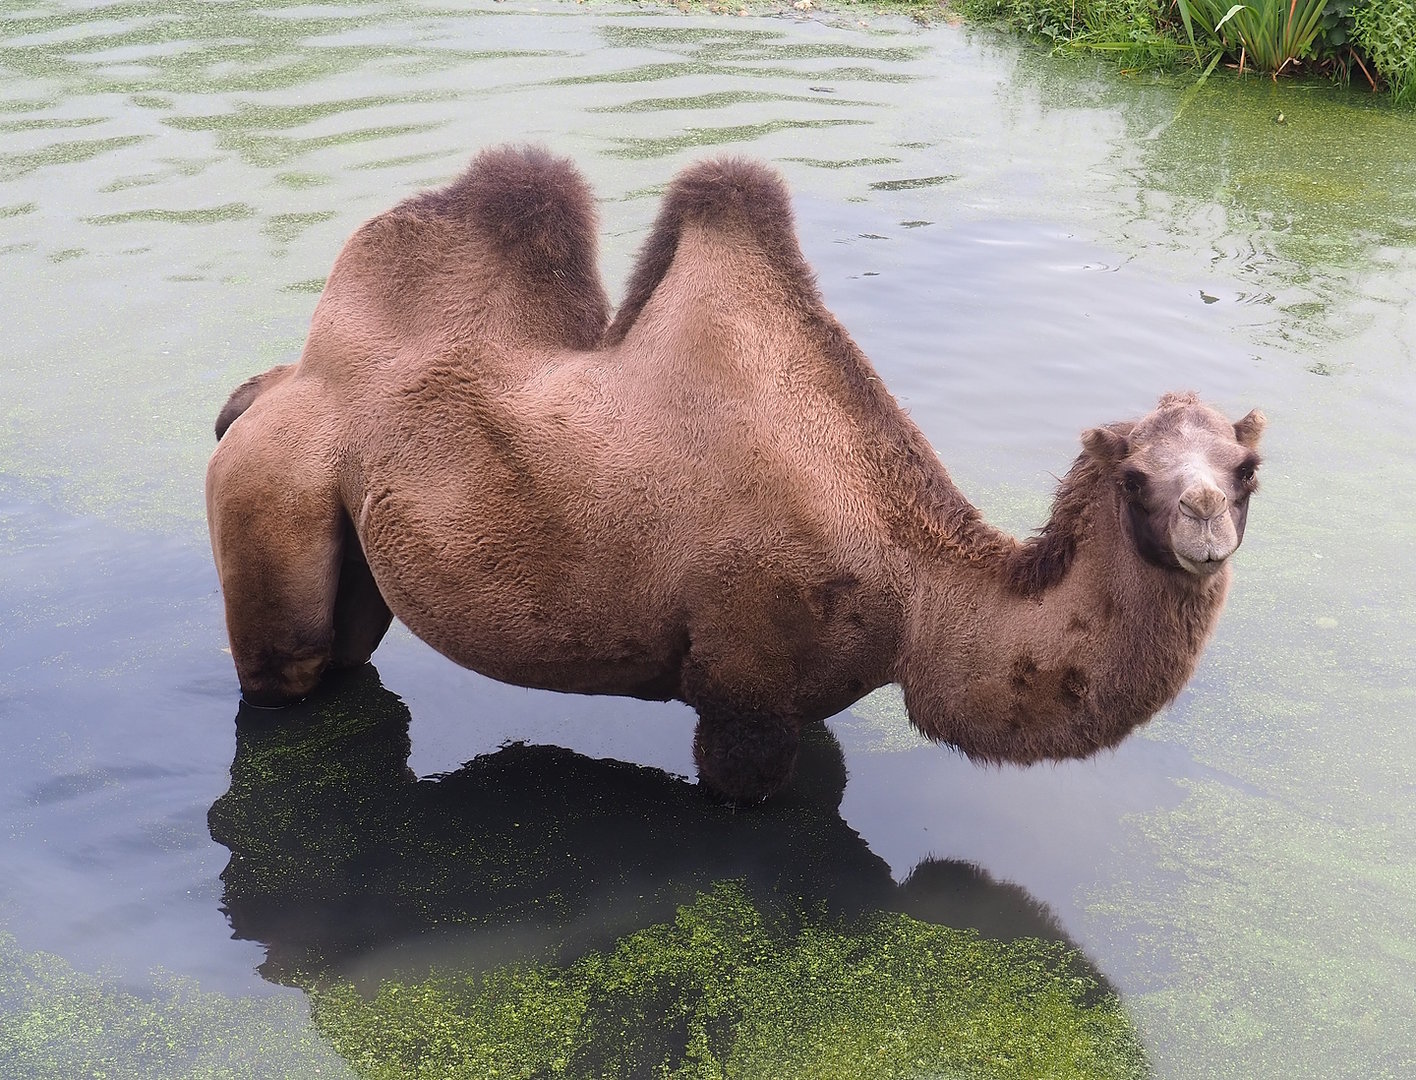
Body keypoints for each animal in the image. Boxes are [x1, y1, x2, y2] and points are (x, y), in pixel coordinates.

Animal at [207, 145, 1264, 803]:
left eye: (1246, 469)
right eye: (1135, 478)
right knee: (286, 664)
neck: (918, 586)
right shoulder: (746, 696)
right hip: (269, 487)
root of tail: (268, 388)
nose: (1203, 524)